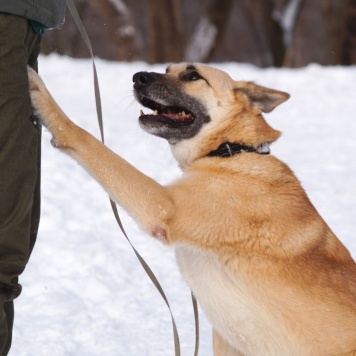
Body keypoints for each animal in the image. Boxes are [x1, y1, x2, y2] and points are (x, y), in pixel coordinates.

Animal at [27, 64, 356, 356]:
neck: (230, 151)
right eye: (167, 69)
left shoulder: (162, 205)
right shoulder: (228, 341)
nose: (138, 76)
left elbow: (88, 140)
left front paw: (42, 96)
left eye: (193, 75)